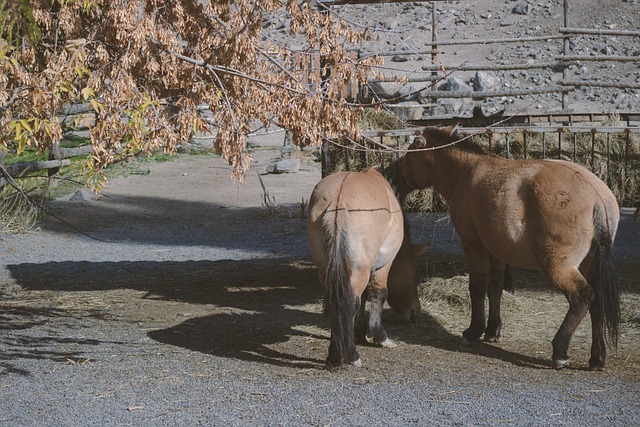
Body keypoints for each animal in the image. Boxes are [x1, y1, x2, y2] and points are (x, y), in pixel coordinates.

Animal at [308, 166, 426, 370]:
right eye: (415, 270)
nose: (415, 311)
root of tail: (338, 200)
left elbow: (362, 299)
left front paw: (359, 333)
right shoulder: (383, 265)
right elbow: (378, 294)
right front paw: (380, 337)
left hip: (328, 270)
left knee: (337, 303)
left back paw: (334, 358)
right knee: (350, 303)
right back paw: (351, 356)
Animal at [401, 126, 620, 371]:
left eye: (409, 156)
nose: (400, 177)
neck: (466, 173)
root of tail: (597, 196)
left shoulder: (474, 246)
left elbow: (477, 287)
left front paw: (474, 331)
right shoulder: (496, 250)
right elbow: (495, 287)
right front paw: (492, 329)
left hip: (558, 266)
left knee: (582, 297)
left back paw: (560, 350)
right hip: (590, 263)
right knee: (597, 302)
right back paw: (597, 358)